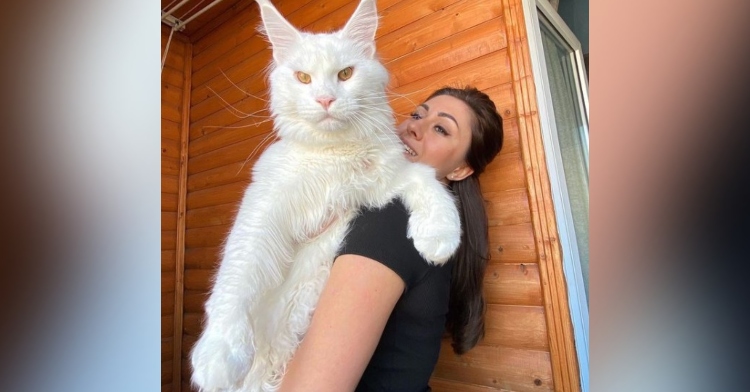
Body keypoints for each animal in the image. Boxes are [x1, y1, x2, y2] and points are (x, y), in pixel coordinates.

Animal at [189, 0, 464, 390]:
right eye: (303, 78)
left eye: (346, 74)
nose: (325, 99)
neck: (333, 156)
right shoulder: (264, 207)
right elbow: (237, 275)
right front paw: (219, 354)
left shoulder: (383, 180)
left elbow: (428, 182)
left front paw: (439, 236)